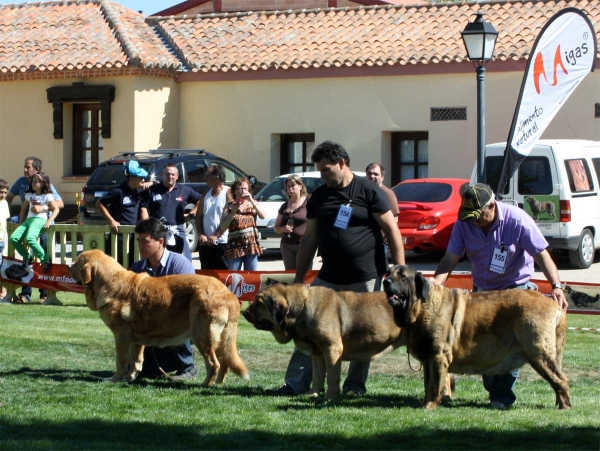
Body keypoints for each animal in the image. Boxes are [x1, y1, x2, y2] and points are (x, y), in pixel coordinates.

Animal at [69, 249, 248, 386]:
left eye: (77, 263)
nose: (68, 265)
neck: (109, 282)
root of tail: (229, 295)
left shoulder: (121, 337)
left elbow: (121, 362)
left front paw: (114, 380)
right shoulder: (136, 340)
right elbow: (136, 361)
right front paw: (129, 379)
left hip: (201, 336)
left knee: (213, 364)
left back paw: (205, 384)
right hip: (218, 339)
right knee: (224, 362)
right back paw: (218, 384)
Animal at [241, 284, 406, 400]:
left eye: (259, 303)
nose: (243, 312)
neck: (301, 309)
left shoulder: (332, 350)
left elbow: (332, 377)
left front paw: (330, 397)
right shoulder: (317, 355)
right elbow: (318, 376)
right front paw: (313, 394)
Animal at [384, 264, 572, 412]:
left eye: (402, 277)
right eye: (388, 273)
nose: (386, 282)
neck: (422, 306)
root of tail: (555, 305)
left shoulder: (438, 357)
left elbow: (435, 385)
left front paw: (429, 406)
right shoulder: (428, 361)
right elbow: (428, 384)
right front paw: (425, 403)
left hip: (538, 353)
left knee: (561, 380)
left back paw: (565, 407)